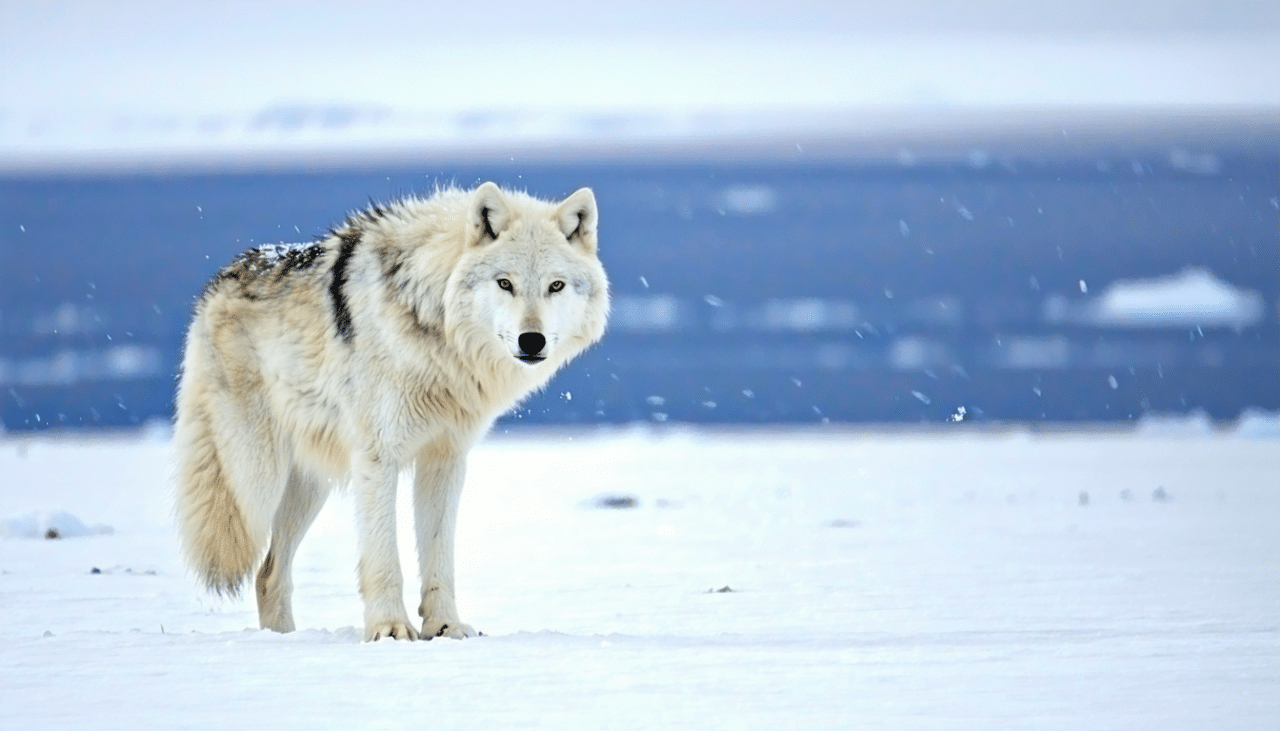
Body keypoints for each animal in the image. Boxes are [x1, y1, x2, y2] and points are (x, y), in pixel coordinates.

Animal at [173, 182, 608, 641]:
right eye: (504, 283)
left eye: (556, 286)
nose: (531, 340)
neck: (434, 322)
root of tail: (218, 283)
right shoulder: (378, 458)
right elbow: (385, 561)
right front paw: (390, 629)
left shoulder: (445, 459)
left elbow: (439, 559)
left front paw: (446, 626)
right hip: (257, 481)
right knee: (256, 556)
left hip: (309, 485)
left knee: (268, 575)